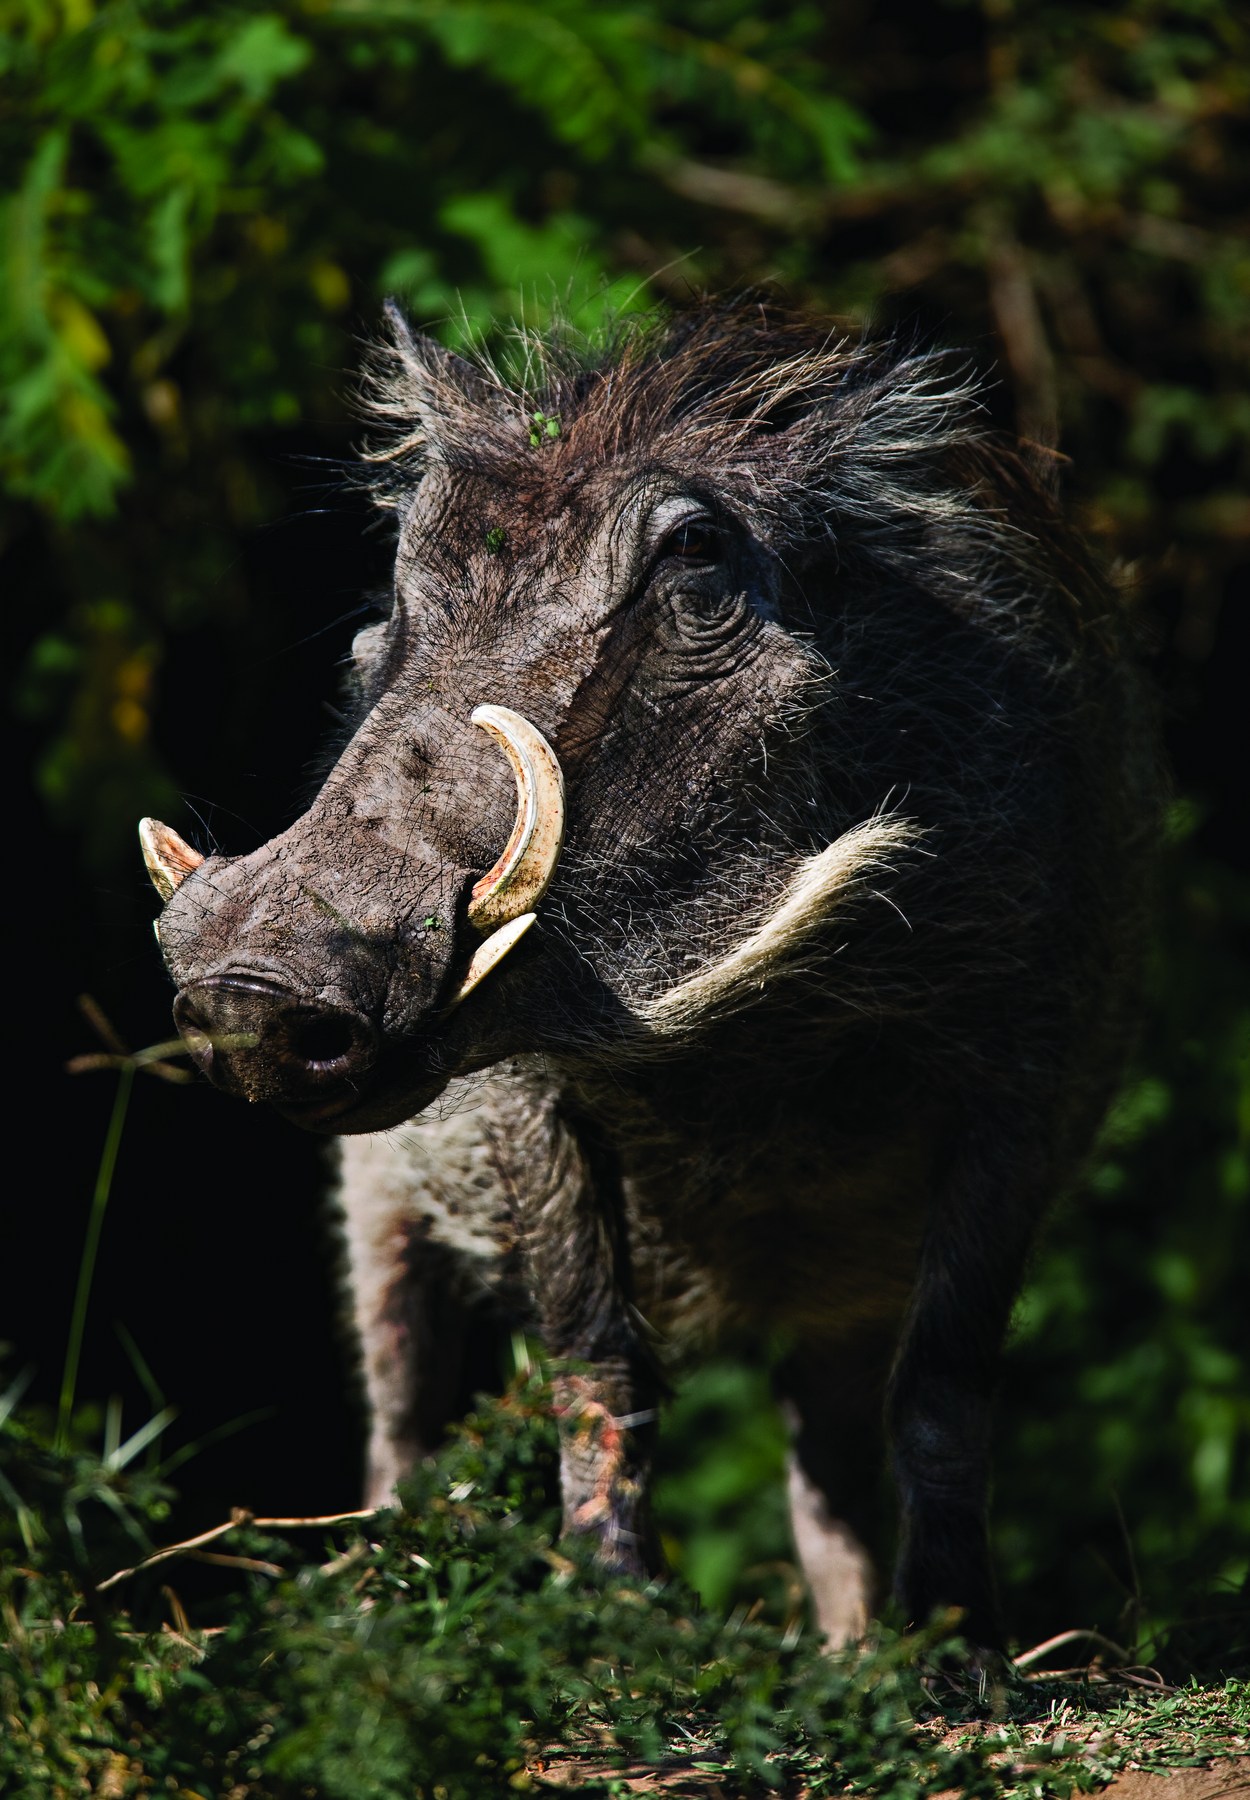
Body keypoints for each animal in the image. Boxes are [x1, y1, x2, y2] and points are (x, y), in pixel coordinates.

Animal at [141, 298, 1157, 1649]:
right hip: (376, 1213)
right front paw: (612, 1624)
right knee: (400, 1432)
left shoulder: (1027, 1087)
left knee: (825, 1482)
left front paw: (955, 1658)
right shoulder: (519, 1096)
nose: (249, 993)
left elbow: (943, 1391)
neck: (757, 1024)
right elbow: (596, 1361)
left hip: (838, 1293)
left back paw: (852, 1656)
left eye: (695, 559)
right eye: (403, 570)